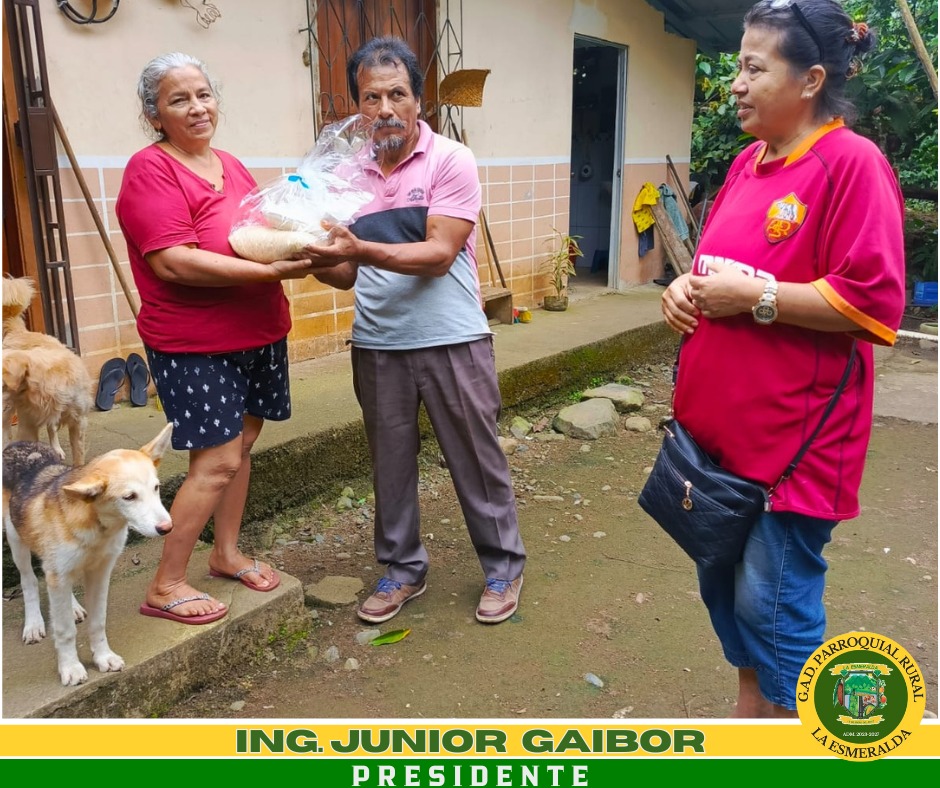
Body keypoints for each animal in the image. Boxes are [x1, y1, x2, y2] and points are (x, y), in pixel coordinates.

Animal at [2, 276, 94, 462]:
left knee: (51, 428)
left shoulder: (78, 421)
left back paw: (56, 449)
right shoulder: (28, 423)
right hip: (8, 410)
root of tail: (18, 331)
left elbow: (78, 456)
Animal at [2, 423, 174, 686]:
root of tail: (18, 444)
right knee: (29, 580)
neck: (99, 527)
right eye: (129, 497)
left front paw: (103, 657)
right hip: (15, 539)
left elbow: (98, 621)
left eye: (156, 488)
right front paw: (71, 668)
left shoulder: (100, 572)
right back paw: (33, 624)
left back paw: (72, 607)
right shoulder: (58, 572)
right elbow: (64, 630)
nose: (167, 528)